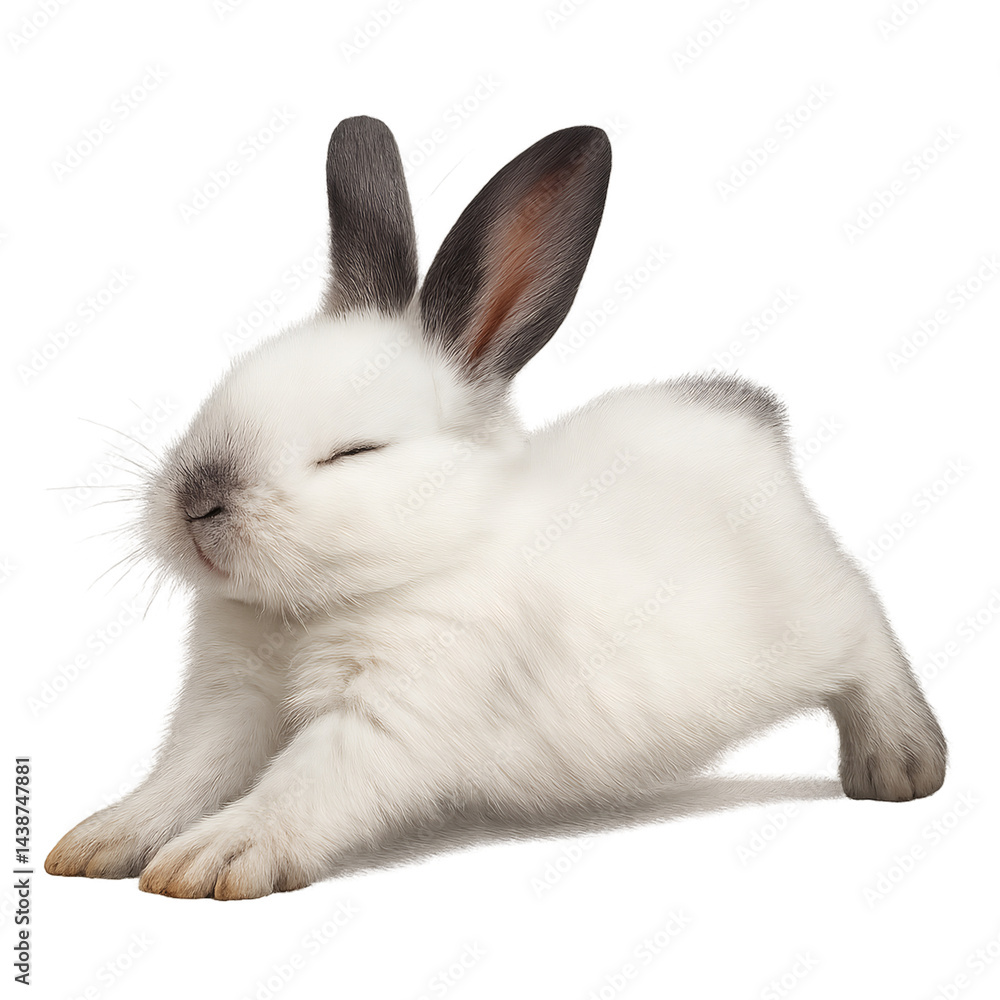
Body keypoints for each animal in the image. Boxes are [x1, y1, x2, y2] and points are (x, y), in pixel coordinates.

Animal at [46, 116, 946, 899]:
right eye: (221, 391)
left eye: (354, 453)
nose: (198, 500)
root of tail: (750, 417)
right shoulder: (228, 705)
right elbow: (186, 774)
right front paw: (102, 841)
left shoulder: (392, 714)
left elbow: (304, 784)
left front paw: (215, 860)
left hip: (815, 610)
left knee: (871, 638)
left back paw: (901, 766)